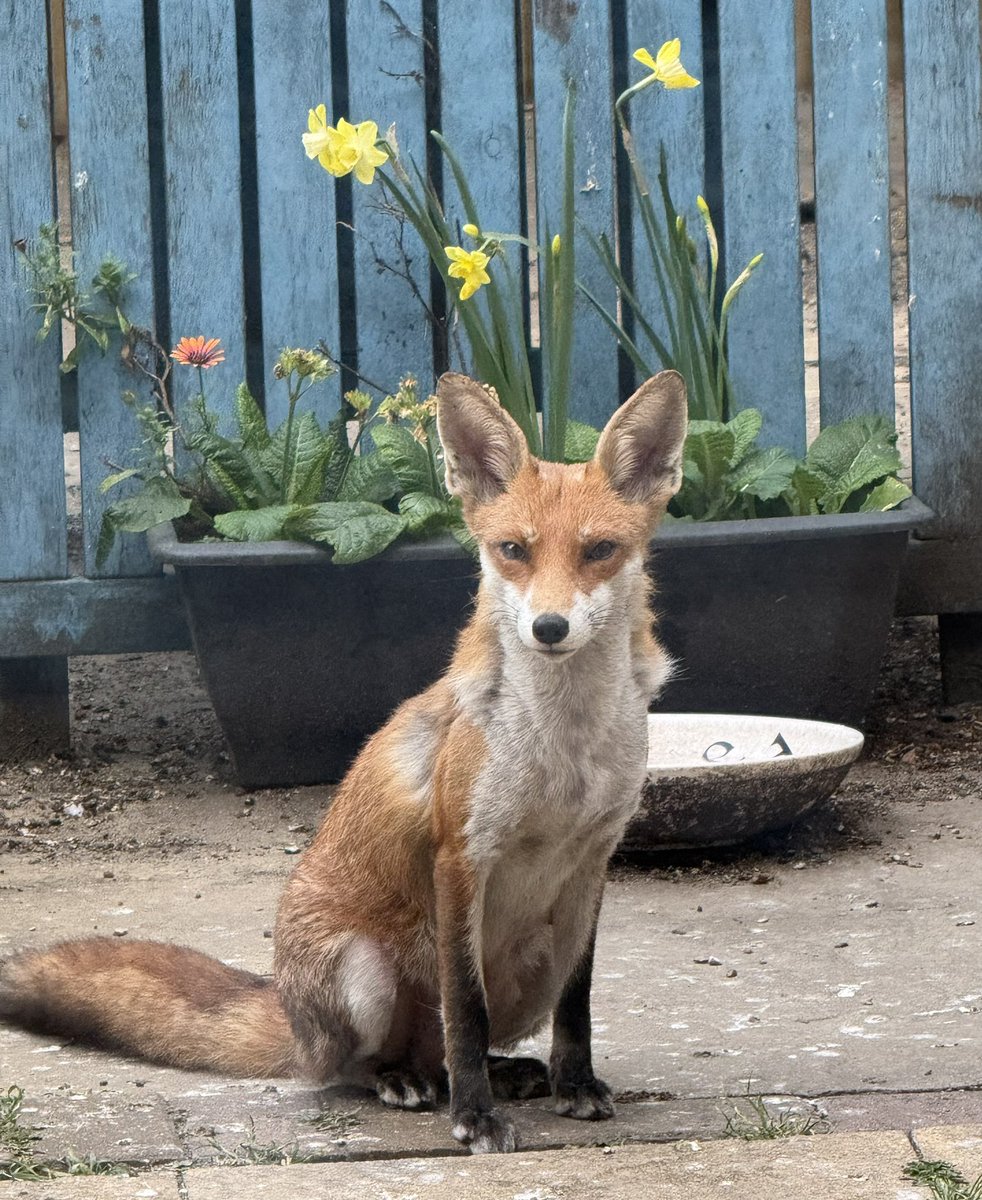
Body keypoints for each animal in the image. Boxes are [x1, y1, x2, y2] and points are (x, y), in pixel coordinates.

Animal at [0, 369, 687, 1154]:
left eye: (599, 550)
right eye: (513, 549)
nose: (548, 628)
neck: (564, 752)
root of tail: (290, 1013)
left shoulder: (592, 863)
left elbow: (577, 1003)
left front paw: (576, 1085)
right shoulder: (461, 857)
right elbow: (466, 1007)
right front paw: (475, 1119)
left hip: (531, 961)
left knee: (453, 1045)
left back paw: (501, 1073)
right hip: (363, 973)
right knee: (366, 1063)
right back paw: (406, 1081)